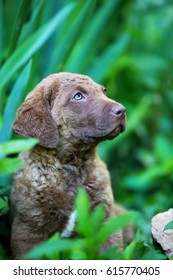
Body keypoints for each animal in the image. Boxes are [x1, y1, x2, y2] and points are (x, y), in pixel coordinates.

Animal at [10, 71, 131, 258]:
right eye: (78, 96)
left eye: (104, 91)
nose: (122, 110)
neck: (73, 166)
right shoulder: (28, 228)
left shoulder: (105, 219)